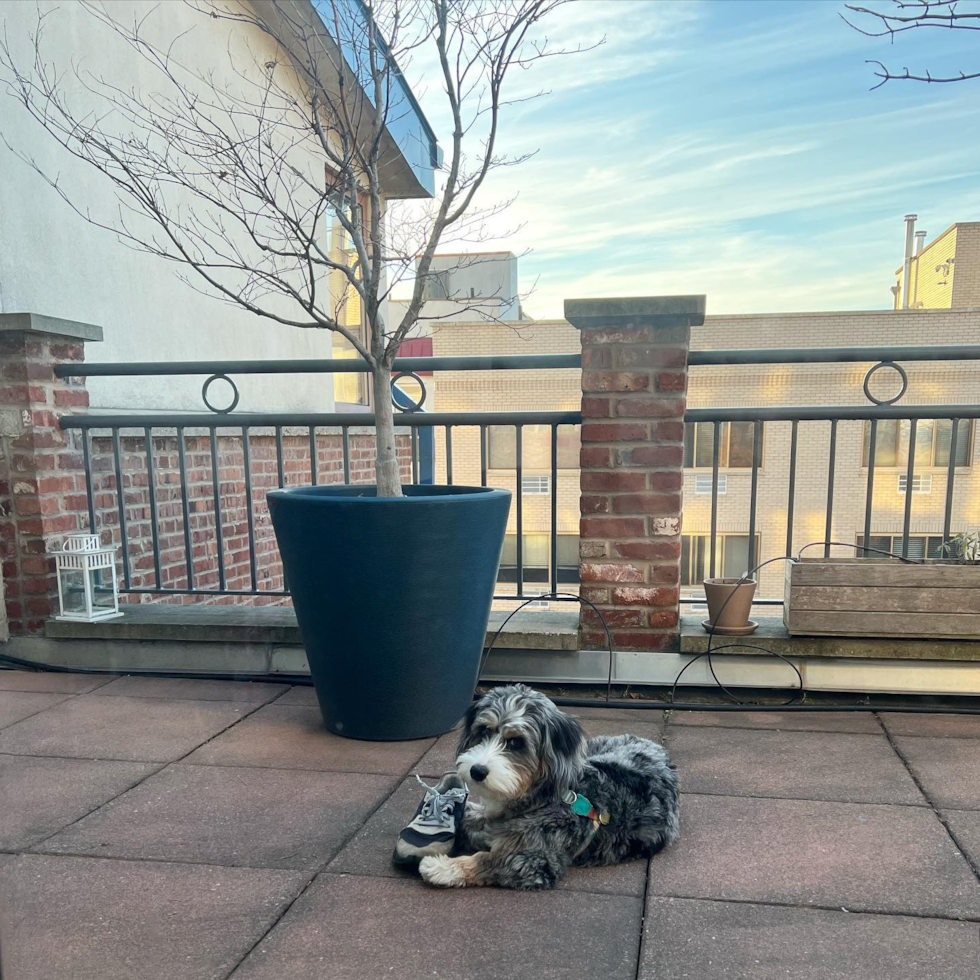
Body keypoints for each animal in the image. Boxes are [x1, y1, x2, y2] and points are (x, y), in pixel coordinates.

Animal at [418, 684, 676, 892]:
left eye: (516, 742)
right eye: (483, 731)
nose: (477, 771)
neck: (544, 798)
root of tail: (657, 748)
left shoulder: (534, 860)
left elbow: (487, 860)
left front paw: (441, 866)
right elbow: (472, 818)